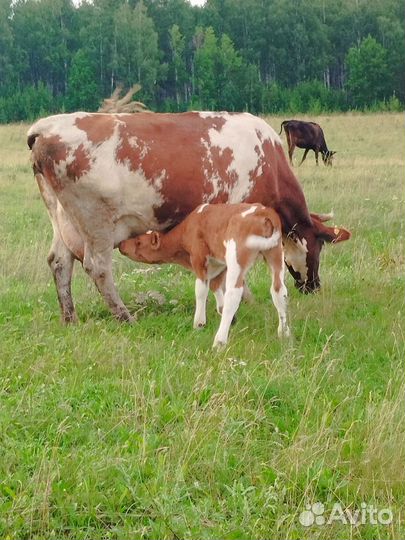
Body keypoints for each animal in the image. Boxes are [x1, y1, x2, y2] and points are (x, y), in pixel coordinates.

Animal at [27, 109, 350, 320]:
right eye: (318, 247)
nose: (314, 286)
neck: (267, 160)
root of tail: (45, 128)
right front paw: (243, 301)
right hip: (96, 222)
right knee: (98, 267)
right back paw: (125, 316)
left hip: (64, 221)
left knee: (59, 262)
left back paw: (70, 318)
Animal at [118, 202, 288, 346]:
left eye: (139, 242)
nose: (121, 244)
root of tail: (263, 212)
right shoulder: (220, 264)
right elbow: (214, 286)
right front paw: (229, 317)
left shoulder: (199, 259)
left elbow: (201, 291)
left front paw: (199, 323)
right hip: (275, 254)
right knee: (278, 290)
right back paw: (284, 333)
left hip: (238, 257)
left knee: (233, 294)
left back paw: (219, 342)